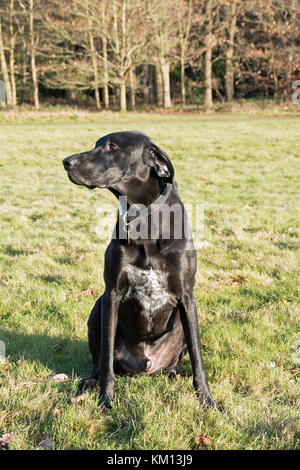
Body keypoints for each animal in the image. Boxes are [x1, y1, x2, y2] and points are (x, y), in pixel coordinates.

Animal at [62, 131, 213, 408]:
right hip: (97, 309)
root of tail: (145, 365)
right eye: (97, 144)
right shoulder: (112, 294)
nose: (66, 162)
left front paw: (207, 400)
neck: (145, 219)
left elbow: (198, 358)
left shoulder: (187, 297)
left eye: (112, 146)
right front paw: (106, 399)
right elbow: (106, 362)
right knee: (99, 362)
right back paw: (90, 383)